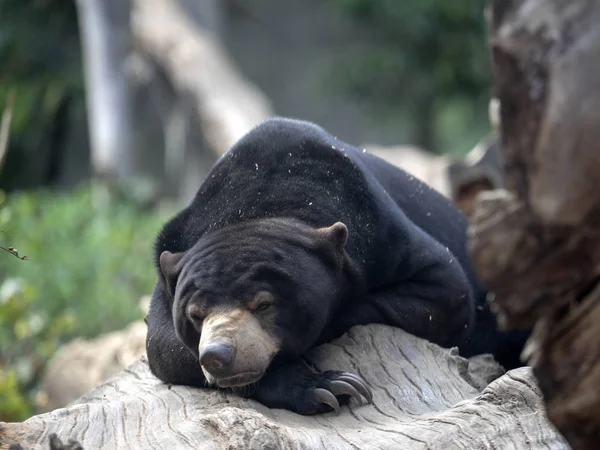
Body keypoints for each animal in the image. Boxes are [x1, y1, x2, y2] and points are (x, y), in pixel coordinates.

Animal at [145, 117, 528, 414]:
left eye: (264, 304)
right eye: (196, 315)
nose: (217, 356)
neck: (261, 206)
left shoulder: (382, 229)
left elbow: (448, 293)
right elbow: (164, 347)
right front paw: (330, 386)